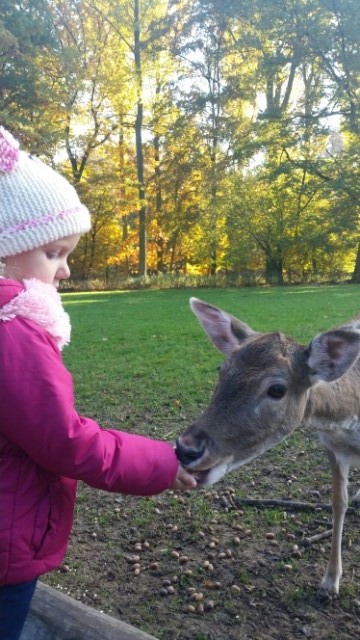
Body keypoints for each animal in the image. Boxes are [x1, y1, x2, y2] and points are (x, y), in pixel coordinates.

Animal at [175, 298, 360, 596]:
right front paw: (330, 582)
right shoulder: (330, 446)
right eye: (221, 371)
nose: (186, 448)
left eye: (277, 390)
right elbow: (337, 503)